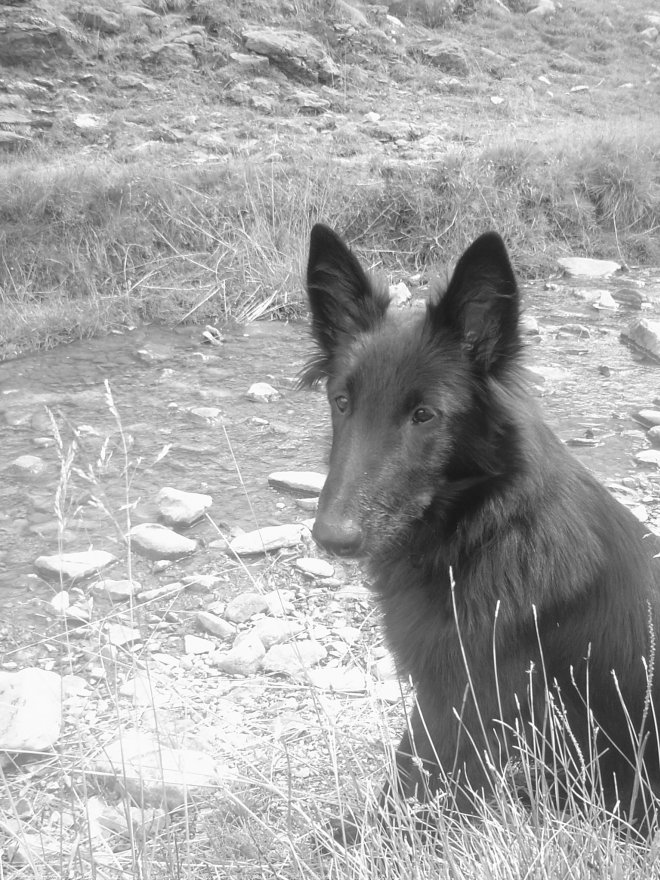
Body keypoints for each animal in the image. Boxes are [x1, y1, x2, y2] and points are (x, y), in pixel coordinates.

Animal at [302, 223, 660, 836]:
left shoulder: (466, 704)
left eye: (424, 415)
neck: (489, 526)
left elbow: (410, 786)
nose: (331, 537)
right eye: (342, 402)